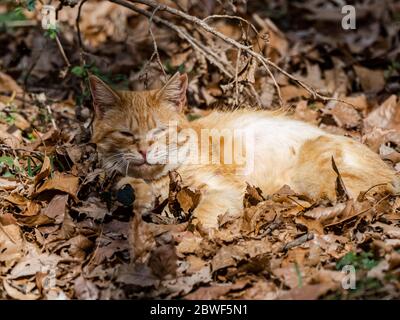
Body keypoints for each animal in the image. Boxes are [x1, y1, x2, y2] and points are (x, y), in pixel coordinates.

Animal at [89, 72, 398, 230]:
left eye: (159, 131)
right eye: (126, 134)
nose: (143, 150)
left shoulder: (225, 188)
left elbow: (201, 216)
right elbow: (128, 188)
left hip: (319, 180)